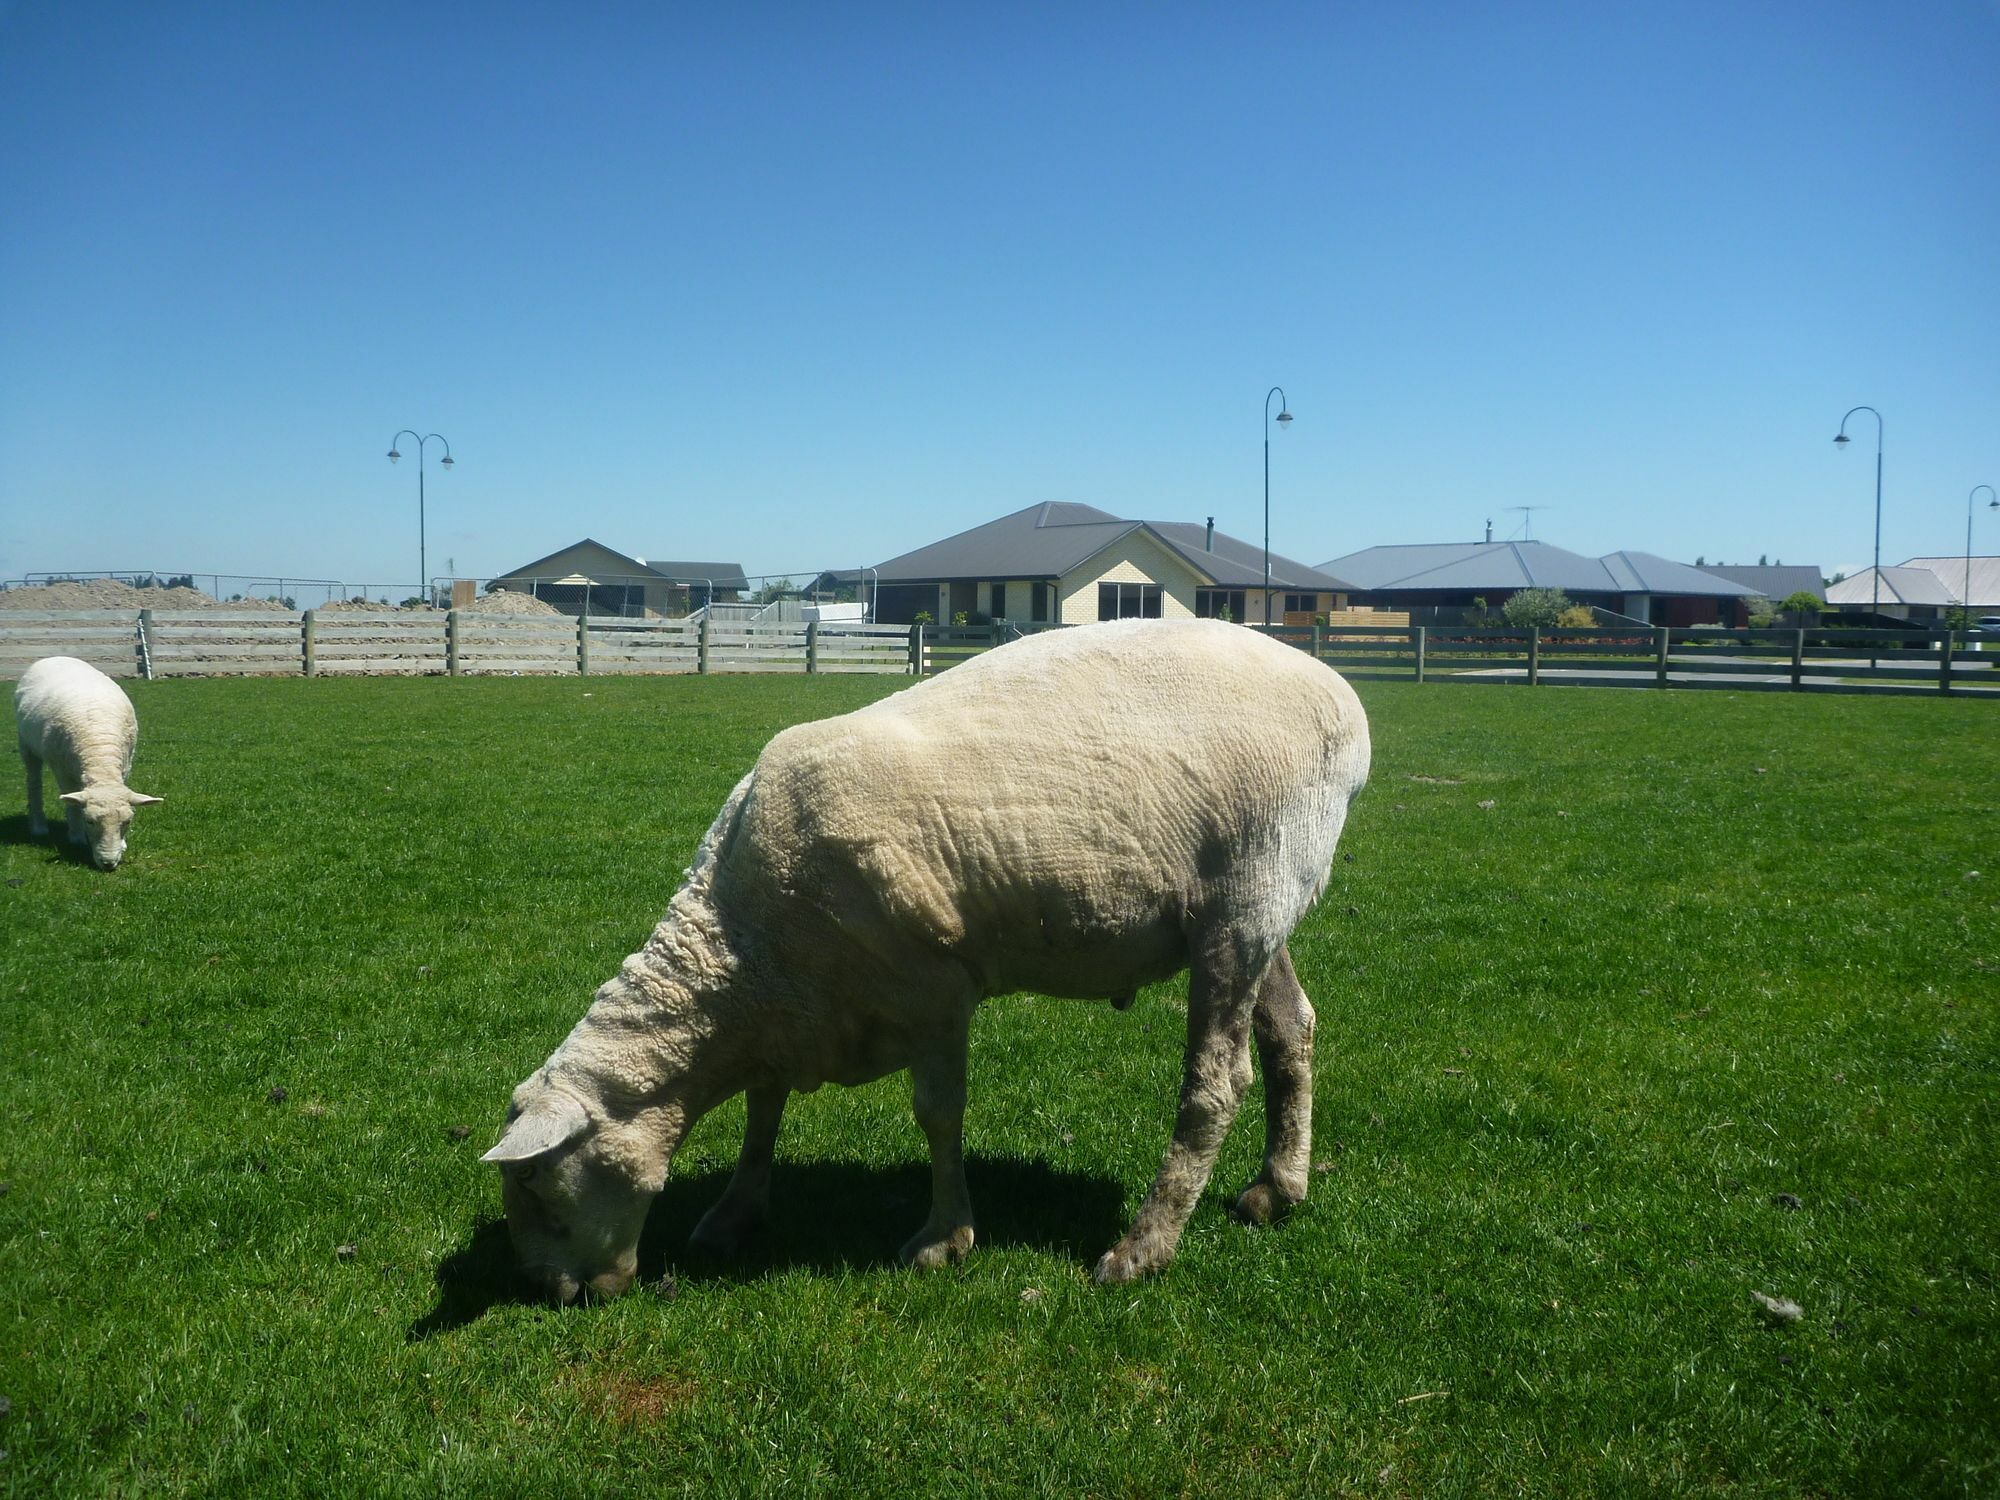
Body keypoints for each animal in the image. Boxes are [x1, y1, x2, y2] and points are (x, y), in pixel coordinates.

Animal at [14, 656, 162, 876]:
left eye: (127, 822)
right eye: (90, 821)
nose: (109, 864)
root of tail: (56, 657)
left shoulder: (126, 764)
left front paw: (122, 844)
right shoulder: (61, 769)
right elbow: (71, 804)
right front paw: (76, 837)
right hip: (26, 744)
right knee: (33, 782)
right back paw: (39, 827)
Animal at [480, 624, 1376, 1304]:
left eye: (540, 1191)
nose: (554, 1294)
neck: (736, 955)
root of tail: (1343, 700)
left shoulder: (933, 990)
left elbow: (938, 1116)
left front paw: (944, 1238)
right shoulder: (793, 1007)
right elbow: (763, 1112)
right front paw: (735, 1213)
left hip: (1246, 900)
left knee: (1216, 1085)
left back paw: (1142, 1248)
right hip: (1260, 909)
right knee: (1292, 1031)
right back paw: (1278, 1188)